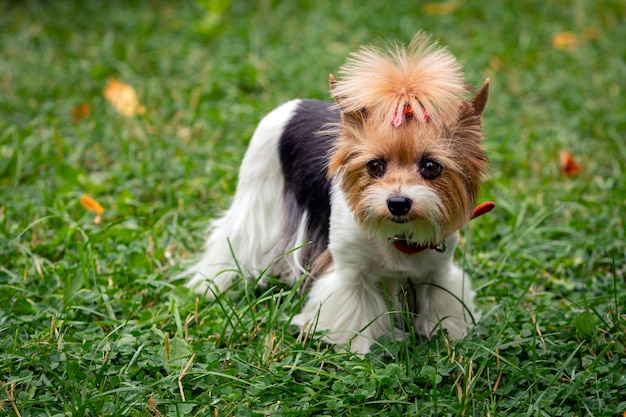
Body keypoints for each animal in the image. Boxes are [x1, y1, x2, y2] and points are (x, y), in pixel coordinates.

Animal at [185, 32, 492, 352]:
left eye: (431, 167)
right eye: (374, 166)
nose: (398, 203)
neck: (398, 235)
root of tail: (296, 103)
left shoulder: (438, 272)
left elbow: (442, 302)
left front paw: (448, 337)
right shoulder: (350, 272)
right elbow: (355, 313)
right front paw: (358, 350)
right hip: (258, 188)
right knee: (235, 238)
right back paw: (211, 284)